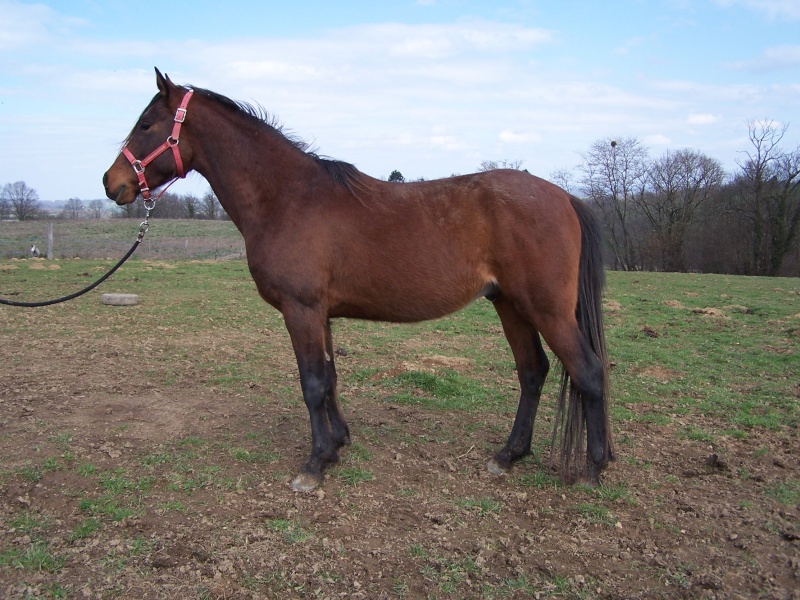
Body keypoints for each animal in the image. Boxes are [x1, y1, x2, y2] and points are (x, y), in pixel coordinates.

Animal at [101, 69, 612, 492]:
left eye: (146, 124)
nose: (111, 182)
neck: (287, 197)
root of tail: (564, 197)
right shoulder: (320, 313)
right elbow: (329, 378)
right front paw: (338, 445)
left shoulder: (301, 309)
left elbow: (311, 383)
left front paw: (313, 466)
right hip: (509, 304)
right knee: (533, 372)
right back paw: (508, 455)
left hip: (545, 308)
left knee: (587, 371)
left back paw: (594, 468)